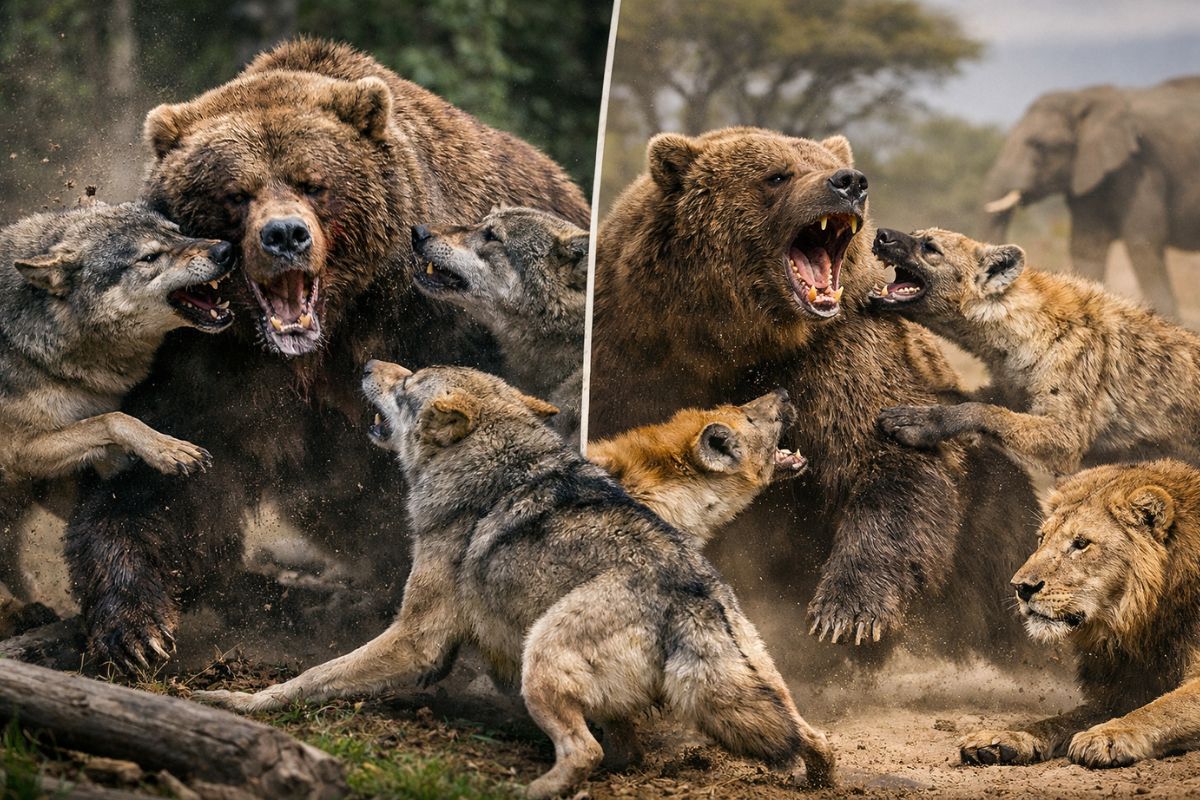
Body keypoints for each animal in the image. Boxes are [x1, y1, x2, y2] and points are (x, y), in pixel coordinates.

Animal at [0, 202, 233, 601]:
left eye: (178, 232)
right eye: (150, 257)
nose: (225, 250)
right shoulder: (20, 453)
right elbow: (115, 419)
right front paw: (168, 450)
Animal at [871, 226, 1200, 476]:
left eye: (930, 247)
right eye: (915, 233)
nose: (882, 234)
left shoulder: (1067, 433)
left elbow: (985, 411)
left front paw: (915, 424)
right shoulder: (1010, 388)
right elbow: (962, 396)